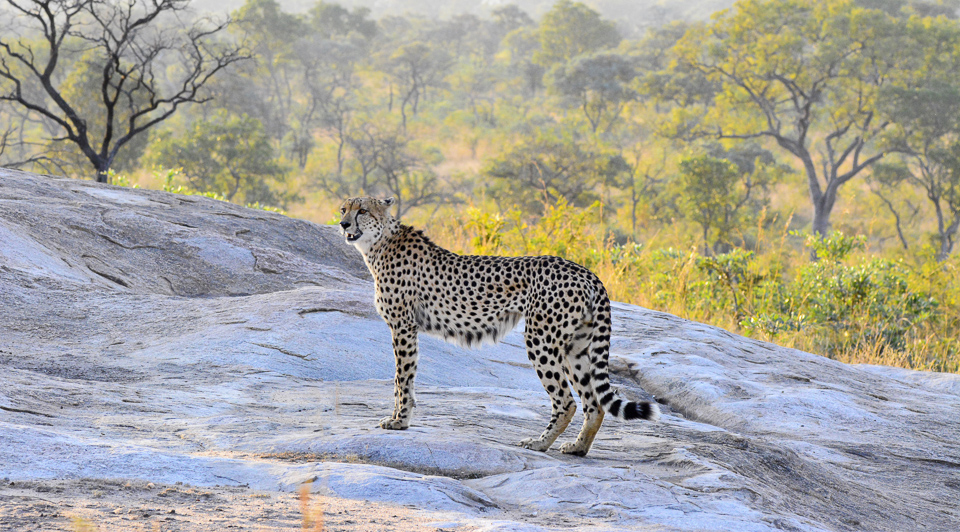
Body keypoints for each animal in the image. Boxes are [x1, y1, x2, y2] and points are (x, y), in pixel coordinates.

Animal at [338, 197, 660, 456]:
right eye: (344, 209)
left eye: (362, 210)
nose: (343, 224)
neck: (379, 243)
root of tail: (584, 270)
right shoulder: (406, 327)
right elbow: (402, 379)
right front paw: (399, 418)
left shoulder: (403, 327)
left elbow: (401, 378)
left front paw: (399, 421)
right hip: (576, 346)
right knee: (593, 403)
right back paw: (578, 448)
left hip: (541, 339)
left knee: (566, 400)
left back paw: (539, 443)